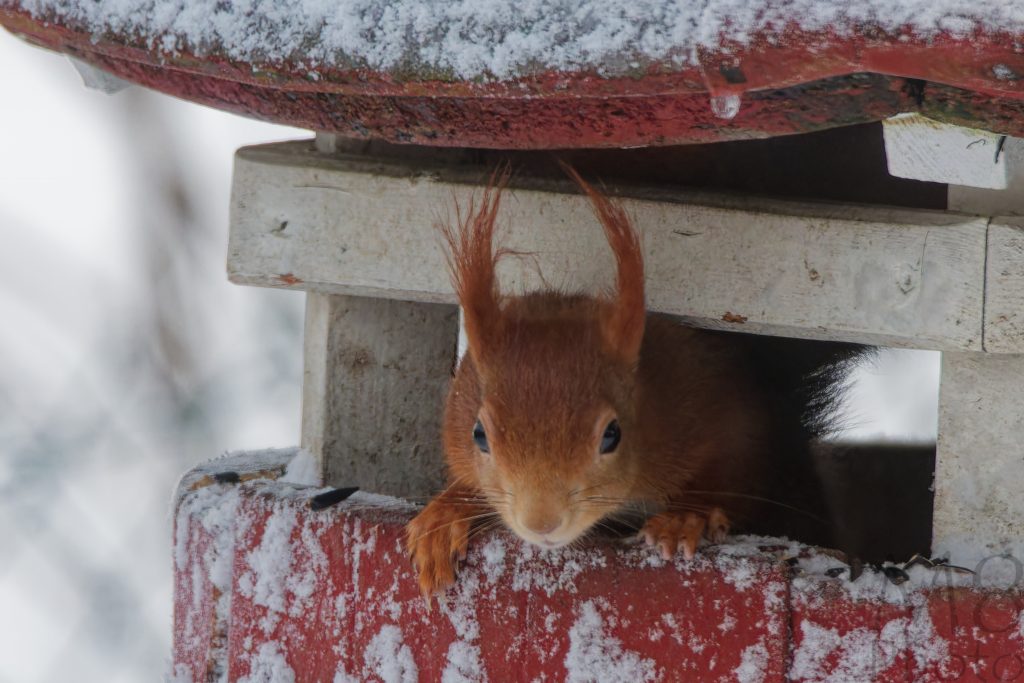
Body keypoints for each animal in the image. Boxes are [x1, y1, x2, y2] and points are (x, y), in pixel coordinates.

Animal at [405, 166, 862, 597]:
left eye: (612, 435)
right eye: (478, 435)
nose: (542, 523)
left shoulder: (716, 407)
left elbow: (737, 471)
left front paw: (685, 517)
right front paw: (447, 513)